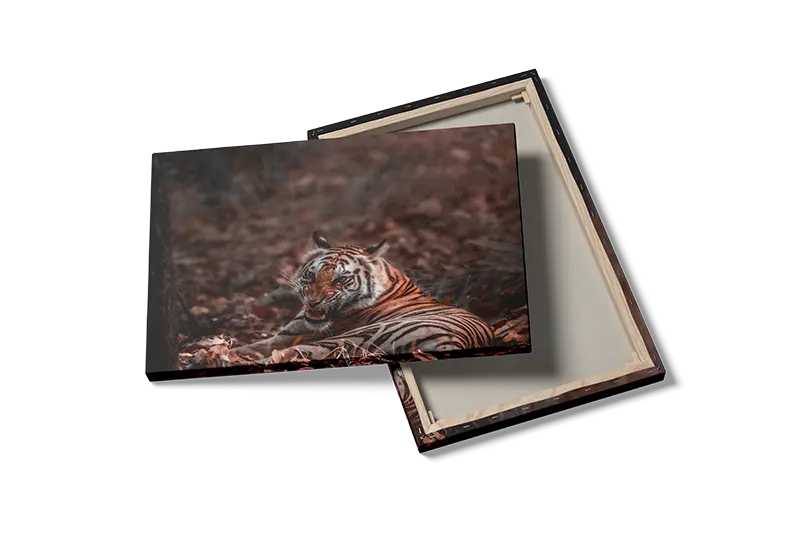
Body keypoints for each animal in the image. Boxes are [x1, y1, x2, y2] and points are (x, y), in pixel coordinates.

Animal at [232, 231, 494, 365]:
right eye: (311, 275)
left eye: (341, 280)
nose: (313, 302)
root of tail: (454, 343)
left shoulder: (295, 336)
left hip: (350, 338)